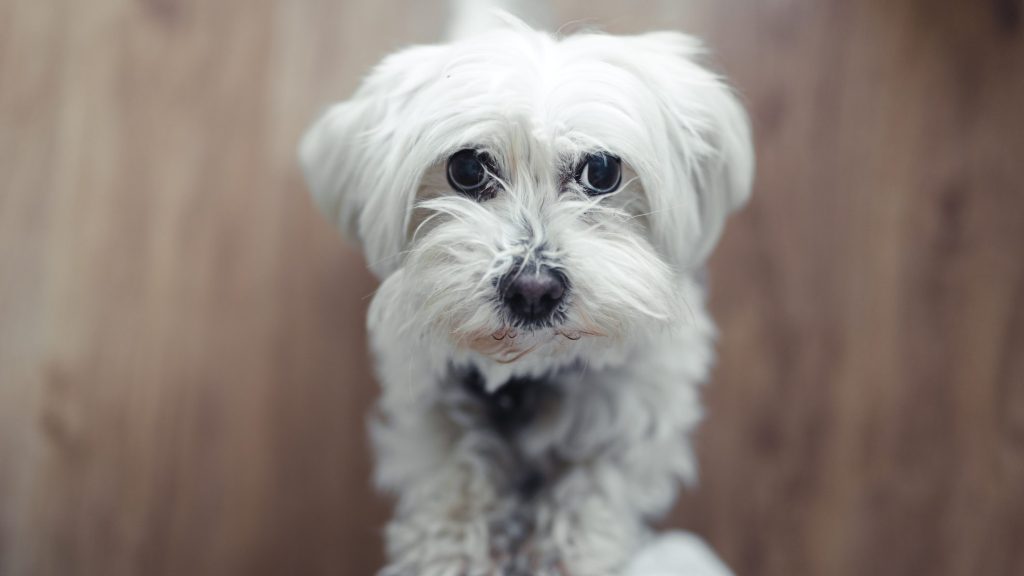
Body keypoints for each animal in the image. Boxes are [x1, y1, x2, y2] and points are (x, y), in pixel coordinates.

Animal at [296, 1, 753, 573]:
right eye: (467, 168)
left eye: (601, 170)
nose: (533, 290)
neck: (531, 374)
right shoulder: (424, 399)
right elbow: (454, 471)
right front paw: (451, 551)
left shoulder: (644, 412)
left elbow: (597, 484)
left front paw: (565, 551)